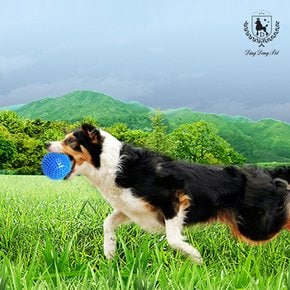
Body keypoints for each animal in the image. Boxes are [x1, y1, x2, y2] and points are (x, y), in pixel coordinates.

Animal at [47, 123, 290, 264]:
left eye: (71, 140)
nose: (47, 143)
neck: (112, 164)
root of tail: (269, 174)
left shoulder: (173, 199)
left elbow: (173, 239)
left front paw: (195, 256)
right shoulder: (132, 206)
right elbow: (108, 222)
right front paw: (110, 251)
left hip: (257, 226)